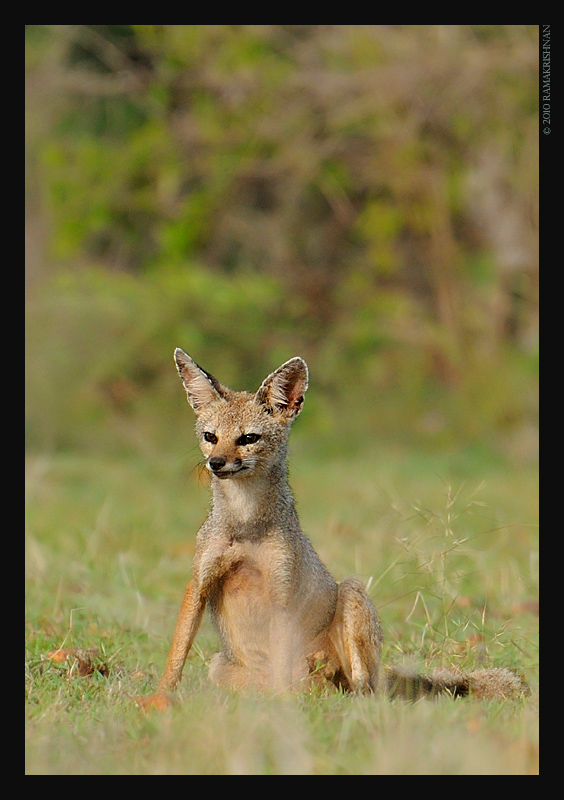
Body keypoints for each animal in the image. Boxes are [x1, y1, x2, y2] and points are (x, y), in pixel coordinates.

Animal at [139, 348, 528, 708]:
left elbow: (281, 666)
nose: (216, 463)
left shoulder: (280, 592)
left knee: (363, 691)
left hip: (353, 596)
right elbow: (176, 654)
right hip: (219, 668)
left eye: (248, 439)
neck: (245, 522)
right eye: (210, 436)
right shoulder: (199, 583)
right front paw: (159, 698)